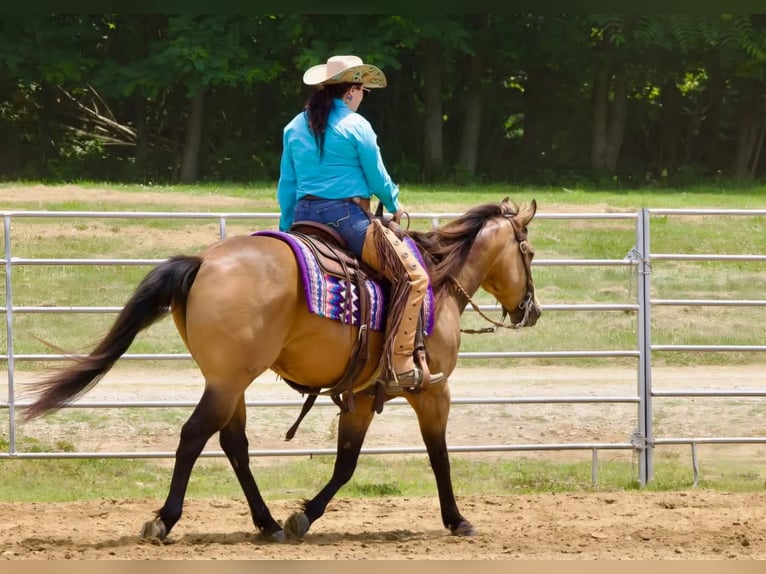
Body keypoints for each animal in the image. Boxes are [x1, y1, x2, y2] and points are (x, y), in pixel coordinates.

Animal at [22, 197, 541, 542]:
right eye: (530, 253)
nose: (531, 311)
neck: (438, 282)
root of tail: (202, 262)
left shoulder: (362, 397)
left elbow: (346, 462)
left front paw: (302, 516)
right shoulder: (433, 390)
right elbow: (439, 455)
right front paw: (457, 519)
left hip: (229, 383)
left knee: (234, 444)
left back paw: (267, 522)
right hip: (228, 383)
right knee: (194, 436)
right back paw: (166, 520)